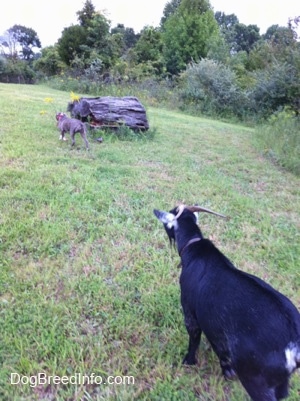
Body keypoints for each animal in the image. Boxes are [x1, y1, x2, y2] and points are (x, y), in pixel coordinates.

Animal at [155, 205, 300, 400]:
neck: (195, 249)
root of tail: (294, 345)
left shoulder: (191, 312)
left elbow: (194, 339)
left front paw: (189, 361)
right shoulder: (214, 324)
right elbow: (219, 347)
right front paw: (227, 371)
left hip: (255, 379)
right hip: (279, 380)